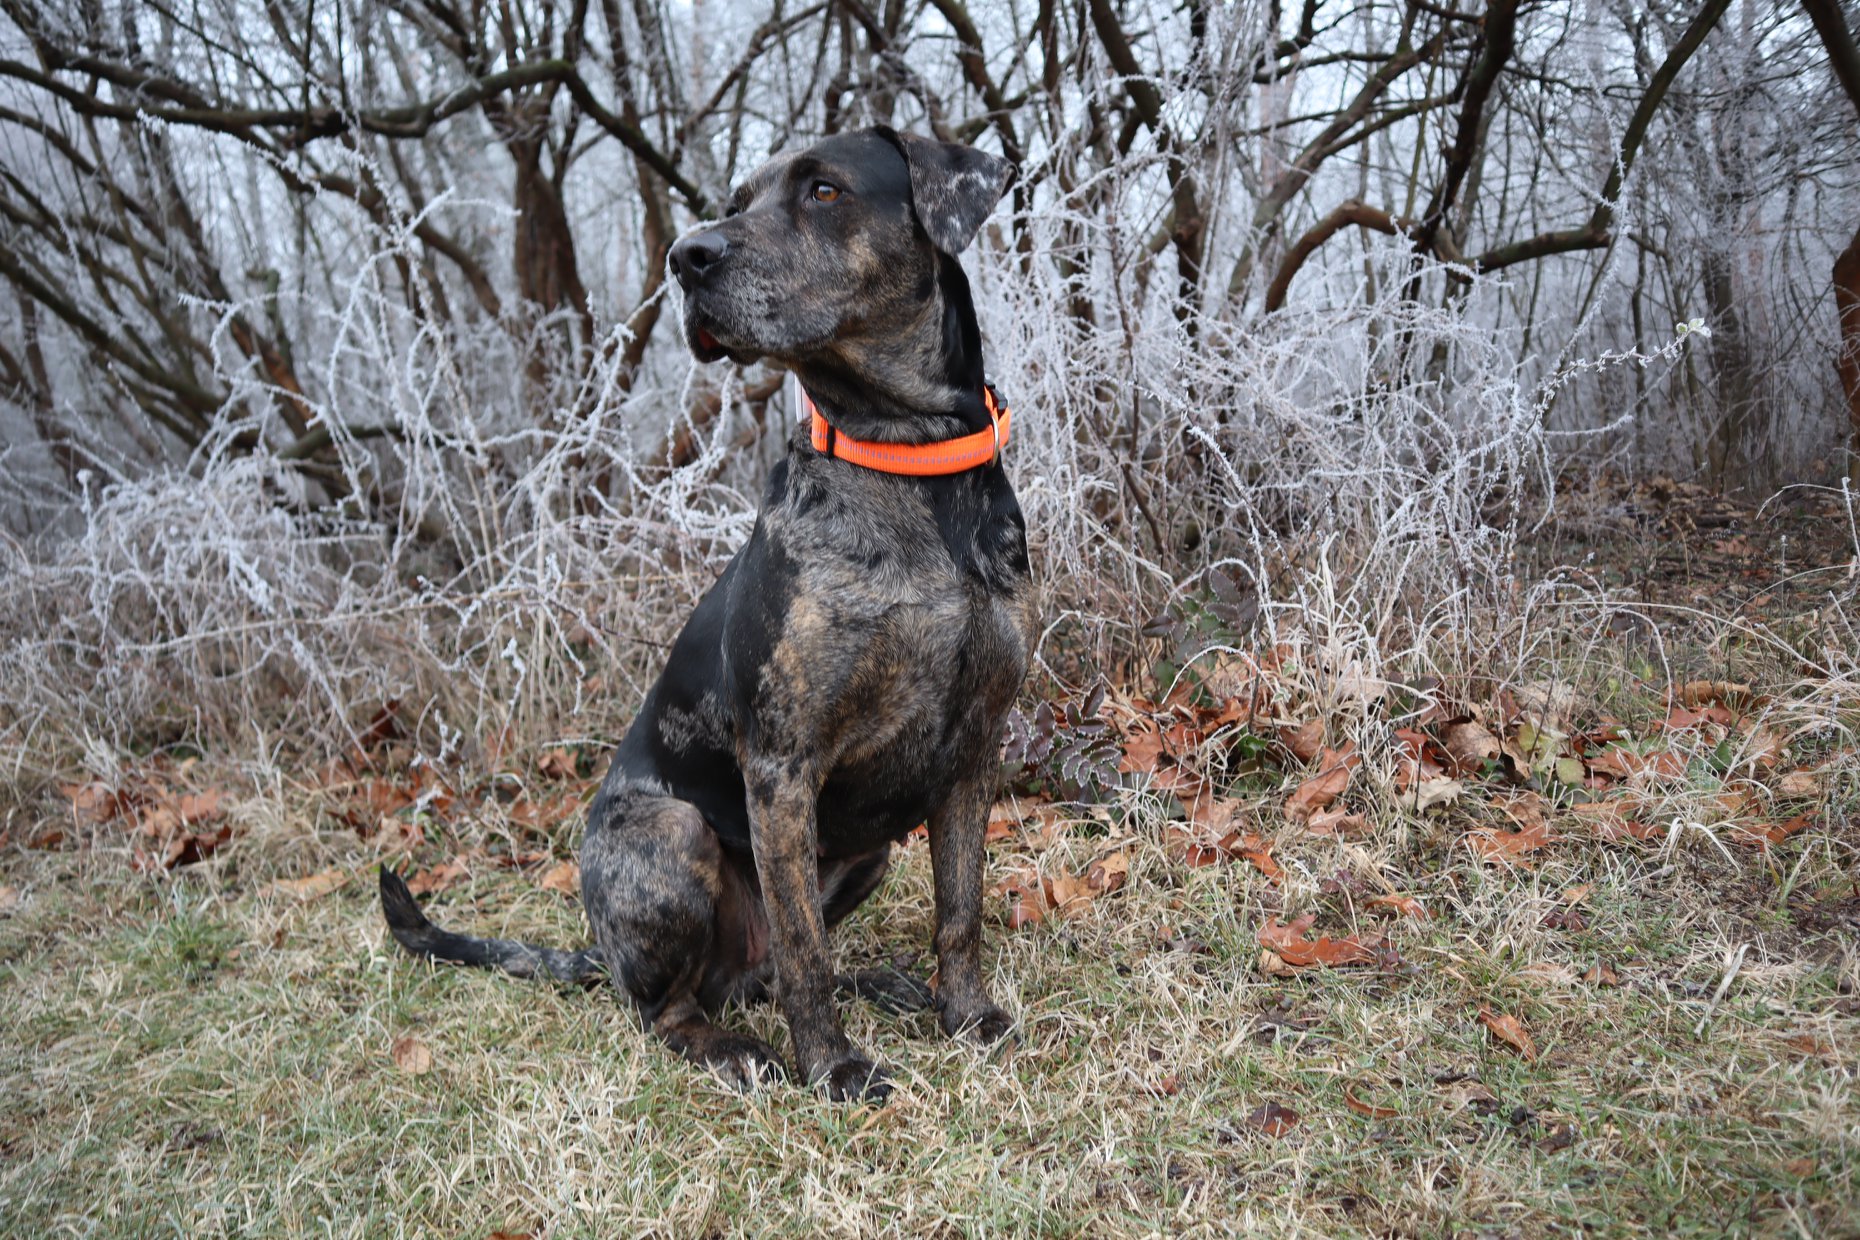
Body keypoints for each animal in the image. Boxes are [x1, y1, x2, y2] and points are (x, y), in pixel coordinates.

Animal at [380, 126, 1032, 1102]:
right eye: (737, 199)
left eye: (825, 190)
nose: (686, 257)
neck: (907, 468)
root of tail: (601, 954)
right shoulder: (783, 767)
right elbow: (803, 949)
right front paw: (833, 1067)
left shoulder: (971, 749)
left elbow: (961, 909)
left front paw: (968, 1015)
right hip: (670, 836)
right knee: (679, 1006)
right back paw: (740, 1049)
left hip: (866, 852)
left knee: (762, 972)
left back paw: (878, 983)